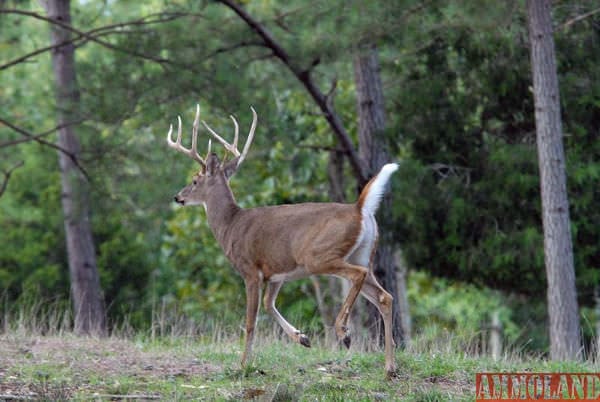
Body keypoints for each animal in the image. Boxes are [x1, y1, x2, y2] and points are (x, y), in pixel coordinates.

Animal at [168, 104, 398, 376]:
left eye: (195, 180)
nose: (178, 197)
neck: (230, 226)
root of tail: (360, 209)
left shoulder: (250, 270)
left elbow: (251, 321)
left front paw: (243, 365)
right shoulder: (276, 272)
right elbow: (269, 304)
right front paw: (303, 338)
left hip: (319, 255)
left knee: (357, 276)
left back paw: (344, 332)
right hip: (363, 254)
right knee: (385, 296)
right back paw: (390, 367)